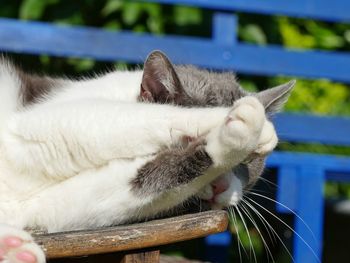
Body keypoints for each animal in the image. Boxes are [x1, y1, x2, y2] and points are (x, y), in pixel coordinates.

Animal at [0, 51, 296, 263]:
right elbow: (149, 116)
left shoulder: (47, 204)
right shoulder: (33, 125)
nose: (220, 187)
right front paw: (247, 124)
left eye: (246, 164)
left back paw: (15, 250)